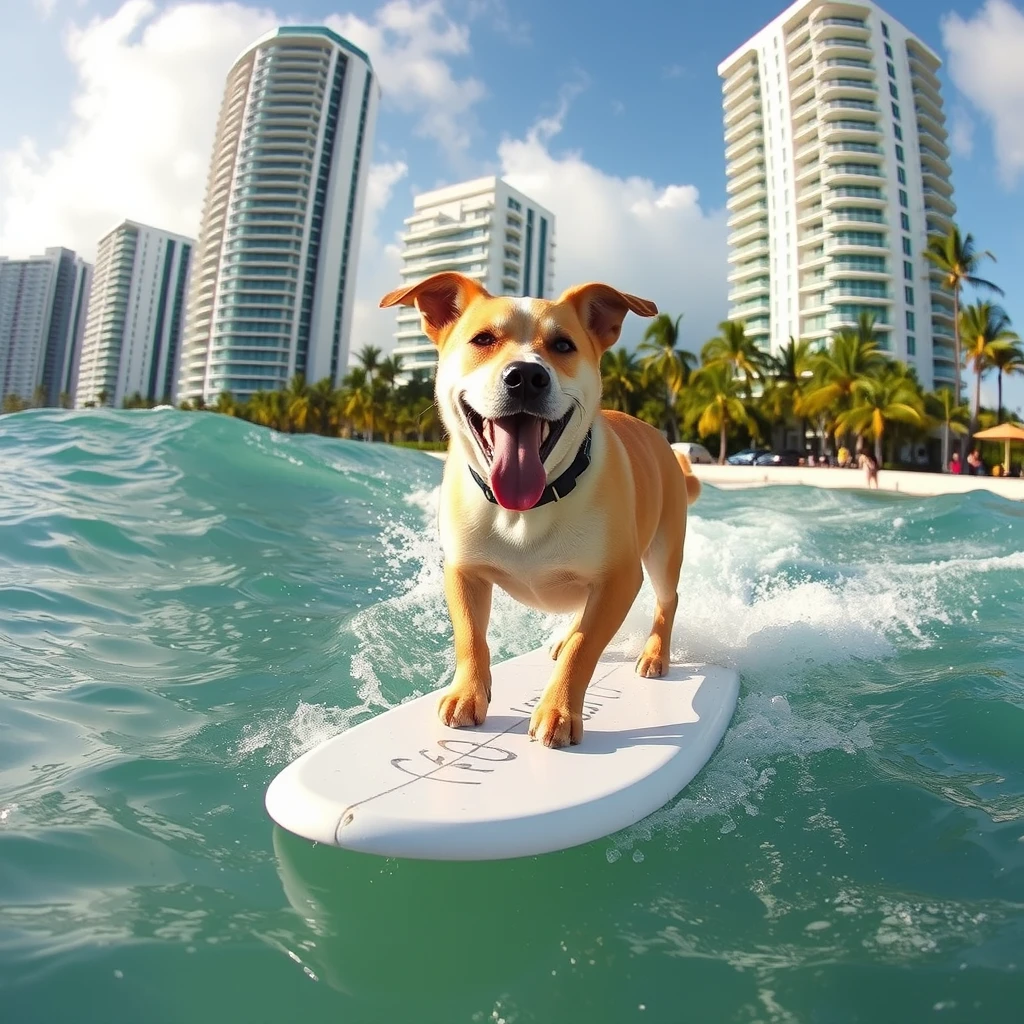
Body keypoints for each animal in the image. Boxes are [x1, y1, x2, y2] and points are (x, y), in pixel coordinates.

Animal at [380, 272, 700, 749]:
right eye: (483, 339)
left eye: (563, 345)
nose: (527, 375)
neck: (529, 504)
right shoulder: (463, 570)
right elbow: (470, 635)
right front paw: (467, 692)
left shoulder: (620, 579)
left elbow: (585, 648)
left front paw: (559, 709)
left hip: (663, 548)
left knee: (667, 598)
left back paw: (655, 653)